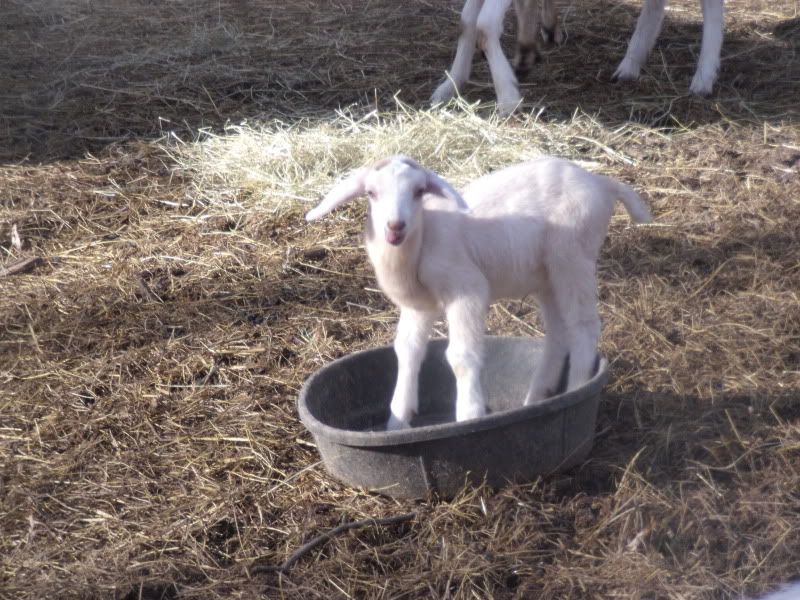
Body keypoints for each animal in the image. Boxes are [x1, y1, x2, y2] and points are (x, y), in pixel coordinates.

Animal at [306, 156, 650, 430]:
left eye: (418, 192)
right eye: (371, 193)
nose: (395, 226)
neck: (422, 240)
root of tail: (601, 182)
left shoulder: (466, 289)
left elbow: (461, 356)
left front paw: (469, 416)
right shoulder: (420, 306)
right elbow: (407, 351)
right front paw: (397, 421)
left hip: (573, 256)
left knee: (583, 328)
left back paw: (578, 388)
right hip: (547, 275)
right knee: (558, 333)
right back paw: (536, 398)